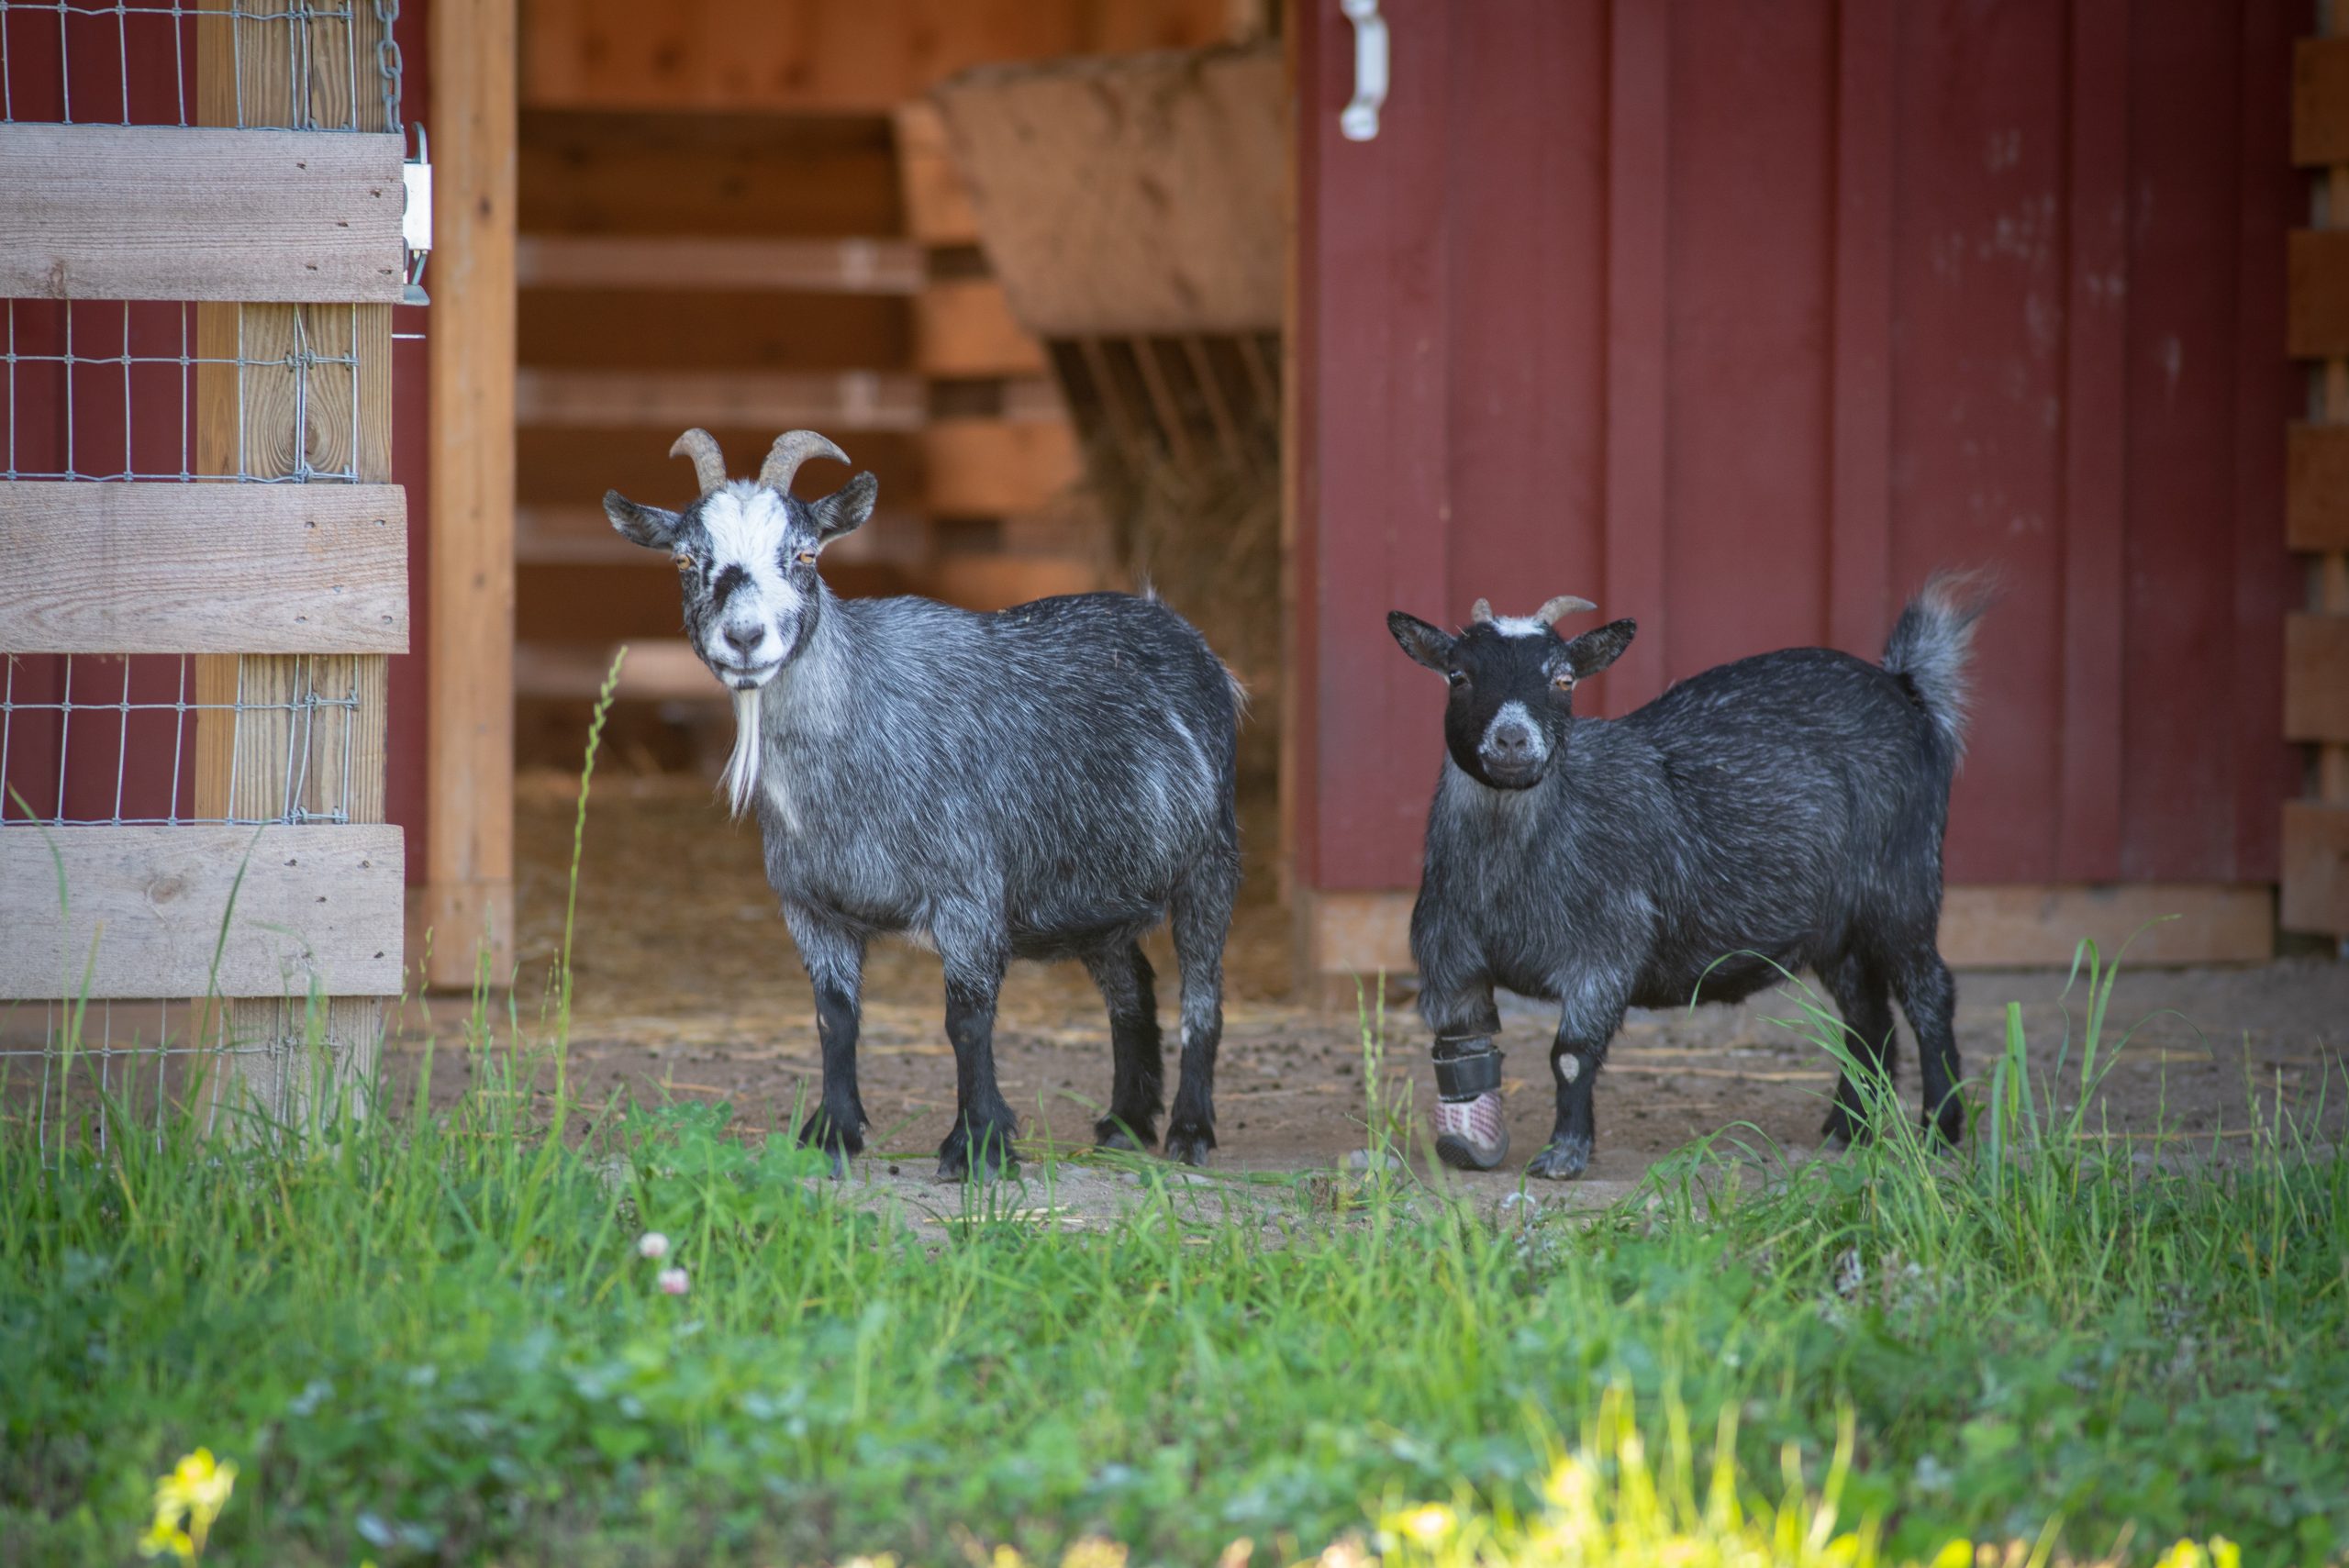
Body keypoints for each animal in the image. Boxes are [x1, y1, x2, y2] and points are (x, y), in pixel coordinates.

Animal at [1381, 582, 1991, 1183]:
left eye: (1564, 679)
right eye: (1458, 676)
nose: (1512, 742)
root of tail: (1906, 686)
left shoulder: (1604, 952)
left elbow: (1571, 1056)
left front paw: (1564, 1156)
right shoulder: (1451, 961)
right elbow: (1462, 1049)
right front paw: (1469, 1144)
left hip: (1902, 886)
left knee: (1929, 994)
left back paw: (1939, 1128)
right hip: (1836, 927)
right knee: (1868, 1017)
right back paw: (1848, 1128)